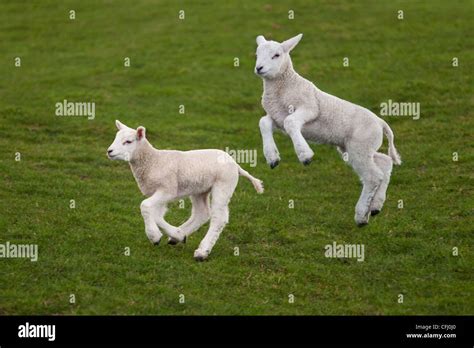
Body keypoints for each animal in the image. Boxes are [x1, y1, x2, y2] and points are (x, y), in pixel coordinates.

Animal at [105, 121, 264, 260]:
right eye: (115, 138)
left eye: (128, 141)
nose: (109, 151)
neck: (153, 161)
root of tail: (235, 164)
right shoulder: (158, 192)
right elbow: (156, 214)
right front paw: (177, 234)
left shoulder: (168, 189)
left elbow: (145, 206)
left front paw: (154, 236)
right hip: (200, 189)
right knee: (202, 213)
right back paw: (178, 237)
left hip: (223, 185)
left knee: (219, 218)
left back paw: (202, 252)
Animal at [254, 34, 402, 227]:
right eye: (257, 54)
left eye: (277, 55)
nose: (259, 68)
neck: (283, 87)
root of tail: (380, 122)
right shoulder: (276, 117)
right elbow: (264, 122)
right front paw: (272, 157)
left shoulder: (310, 108)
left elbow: (291, 122)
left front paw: (305, 155)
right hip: (356, 147)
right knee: (384, 163)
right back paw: (375, 207)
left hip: (360, 145)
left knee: (373, 176)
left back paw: (361, 215)